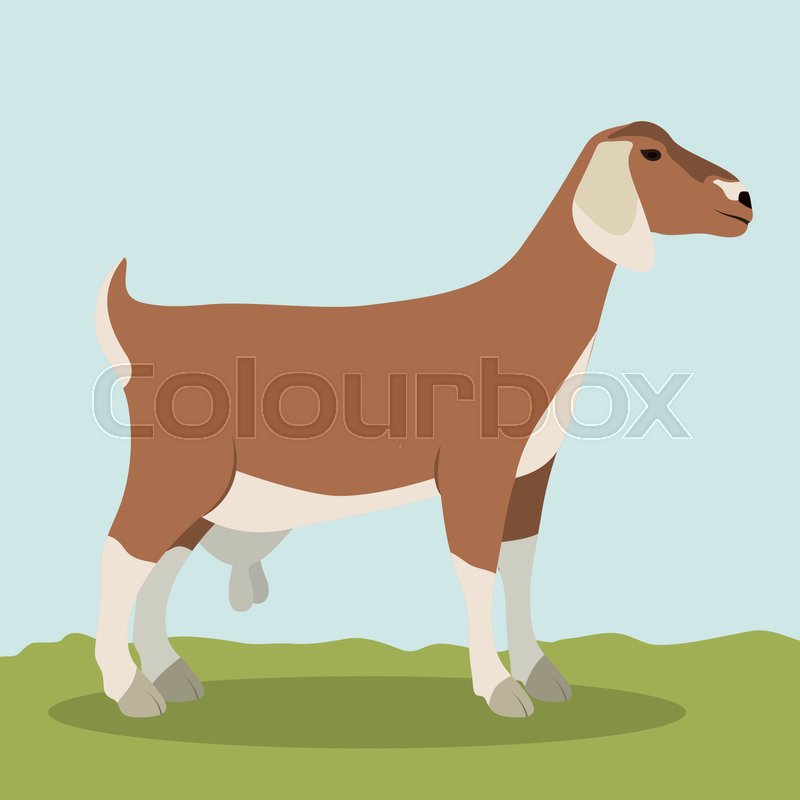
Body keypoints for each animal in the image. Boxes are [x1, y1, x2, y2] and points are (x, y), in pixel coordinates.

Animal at [94, 121, 751, 717]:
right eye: (651, 154)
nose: (743, 195)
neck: (521, 316)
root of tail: (144, 328)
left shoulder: (531, 472)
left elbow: (520, 563)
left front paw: (541, 674)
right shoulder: (475, 467)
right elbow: (476, 567)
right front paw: (500, 689)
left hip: (215, 486)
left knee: (160, 563)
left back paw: (171, 675)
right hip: (180, 467)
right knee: (121, 551)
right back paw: (129, 690)